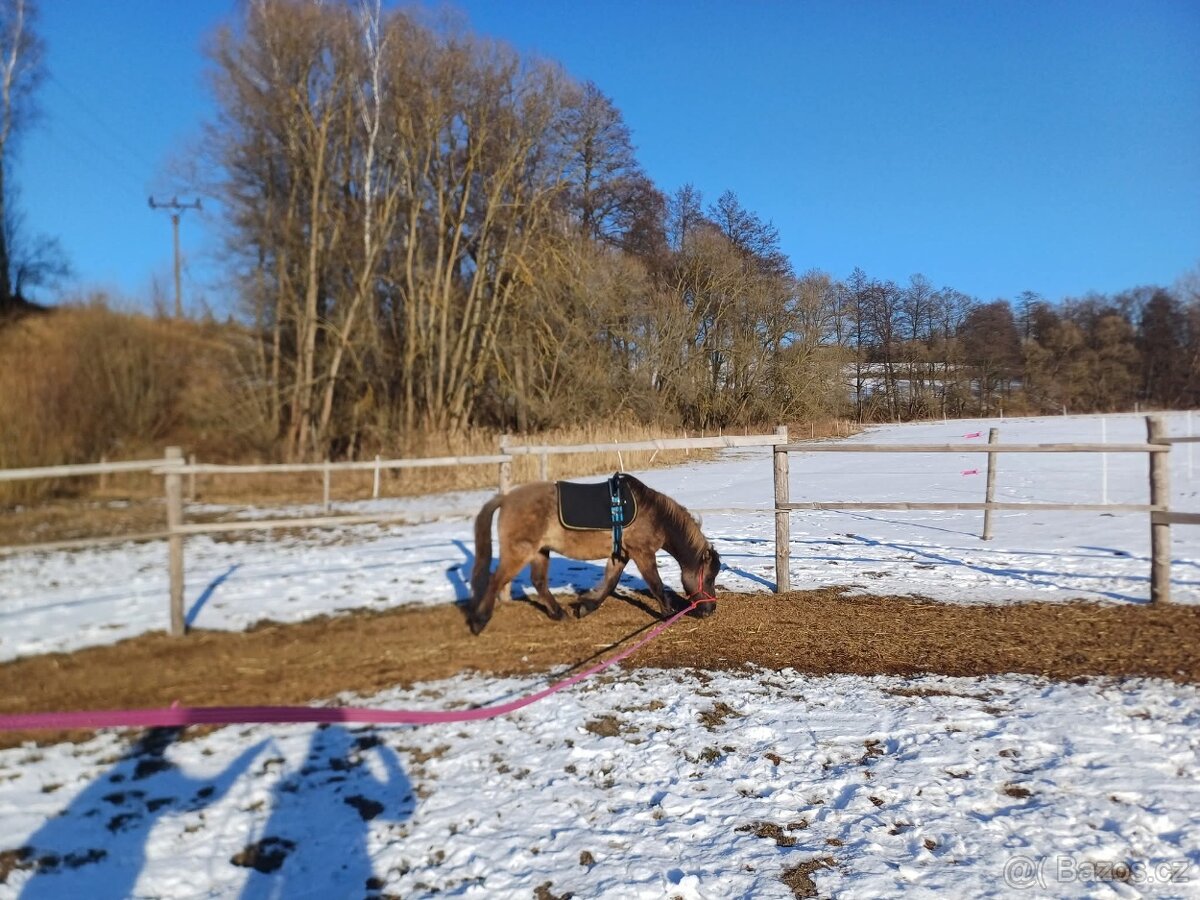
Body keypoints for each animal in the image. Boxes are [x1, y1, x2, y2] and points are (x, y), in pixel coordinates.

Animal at [466, 474, 720, 635]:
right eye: (709, 577)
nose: (710, 610)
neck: (655, 514)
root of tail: (506, 499)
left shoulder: (621, 555)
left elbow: (609, 583)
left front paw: (585, 606)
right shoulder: (642, 552)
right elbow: (655, 584)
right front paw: (668, 613)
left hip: (540, 551)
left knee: (538, 582)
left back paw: (559, 613)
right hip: (520, 552)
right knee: (496, 580)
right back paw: (479, 622)